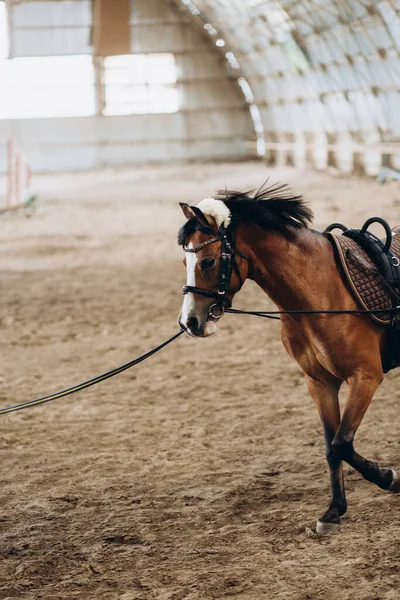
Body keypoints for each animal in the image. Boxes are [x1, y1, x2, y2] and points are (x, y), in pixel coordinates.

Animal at [178, 183, 400, 536]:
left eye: (209, 262)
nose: (190, 322)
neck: (323, 292)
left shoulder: (365, 377)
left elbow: (343, 442)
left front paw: (390, 478)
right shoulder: (319, 384)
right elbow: (332, 447)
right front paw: (333, 511)